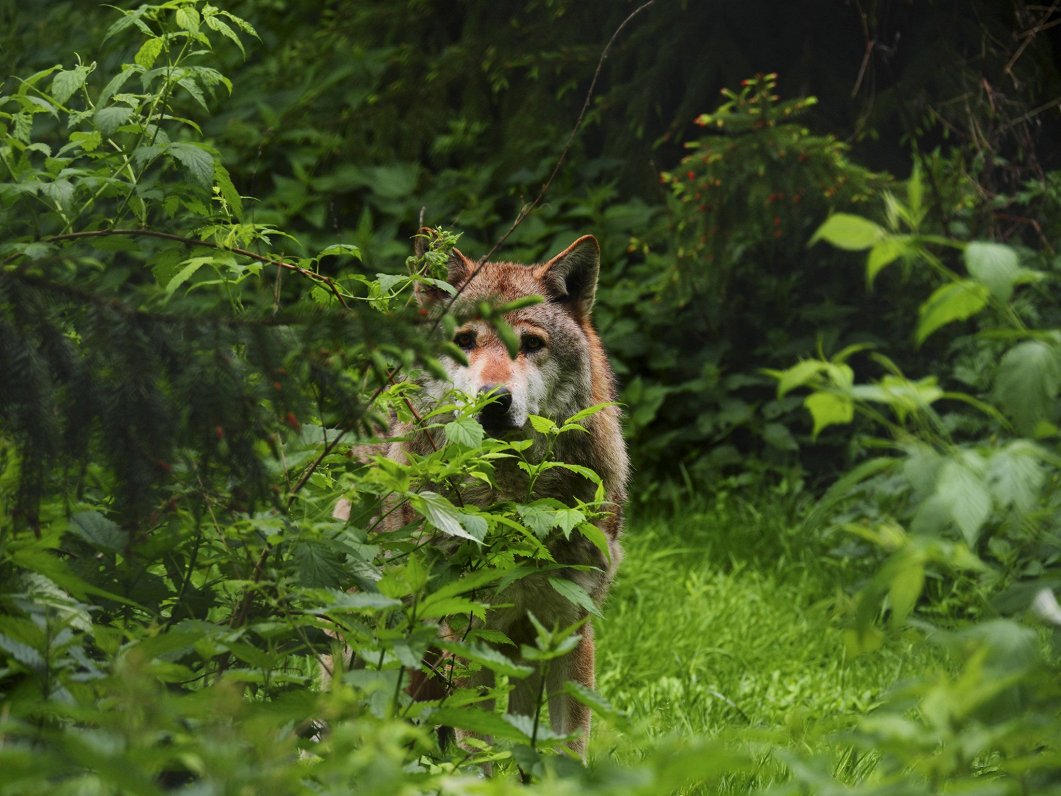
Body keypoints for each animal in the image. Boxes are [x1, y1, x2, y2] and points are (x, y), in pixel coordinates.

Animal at [333, 233, 628, 755]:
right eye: (465, 340)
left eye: (531, 344)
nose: (494, 400)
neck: (512, 495)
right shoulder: (466, 629)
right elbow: (478, 746)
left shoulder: (569, 628)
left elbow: (567, 747)